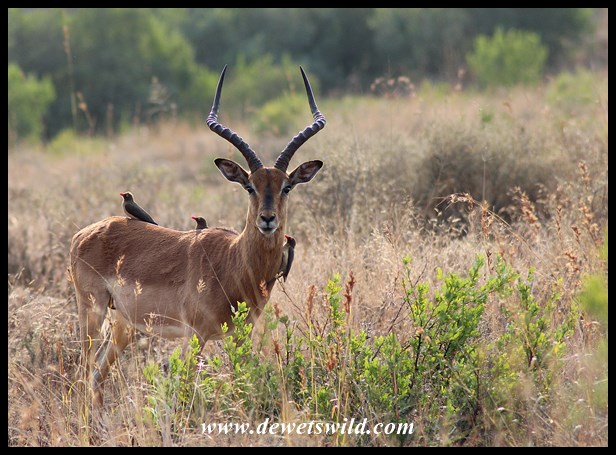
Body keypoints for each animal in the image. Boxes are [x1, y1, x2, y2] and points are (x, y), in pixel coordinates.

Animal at [69, 65, 325, 405]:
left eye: (286, 186)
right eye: (249, 186)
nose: (267, 219)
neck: (233, 262)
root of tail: (82, 234)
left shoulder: (240, 335)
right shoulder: (196, 335)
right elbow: (185, 386)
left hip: (123, 325)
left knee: (97, 375)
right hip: (92, 311)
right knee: (82, 372)